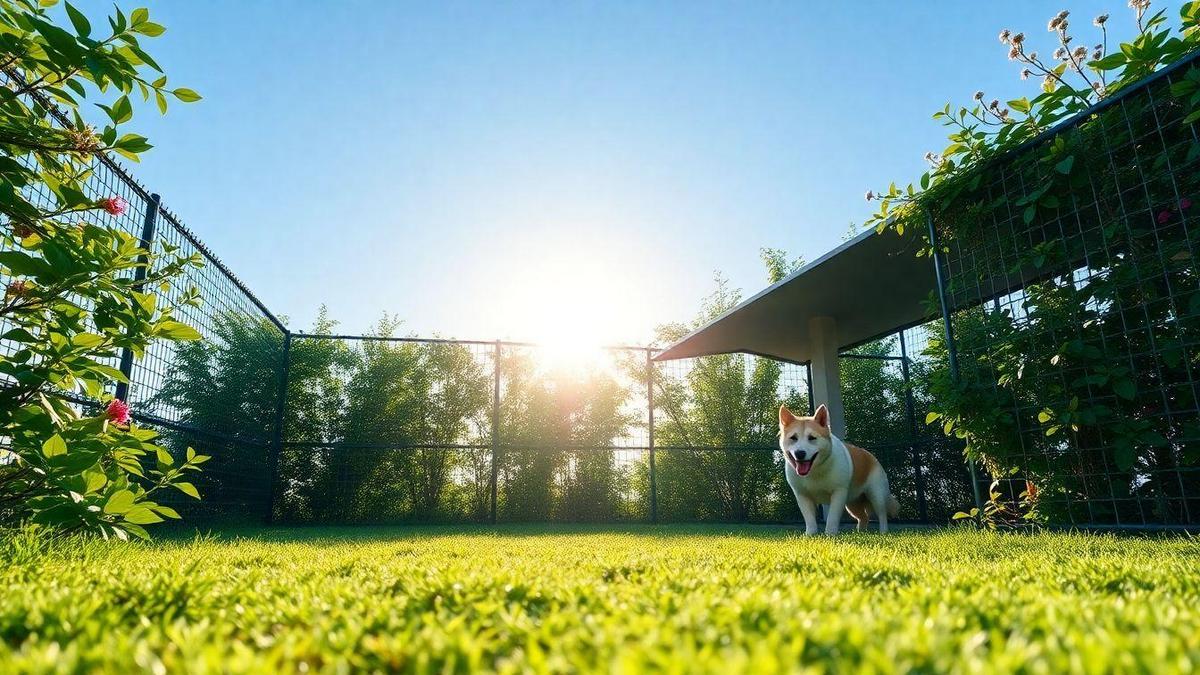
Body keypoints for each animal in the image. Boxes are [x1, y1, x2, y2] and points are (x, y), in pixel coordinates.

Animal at [777, 401, 902, 533]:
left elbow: (832, 517)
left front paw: (830, 534)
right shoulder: (802, 496)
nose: (799, 453)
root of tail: (872, 457)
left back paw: (883, 532)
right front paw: (810, 534)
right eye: (793, 438)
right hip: (853, 503)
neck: (815, 471)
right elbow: (810, 519)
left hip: (876, 495)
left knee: (882, 515)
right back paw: (860, 533)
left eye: (812, 438)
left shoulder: (839, 493)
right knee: (864, 517)